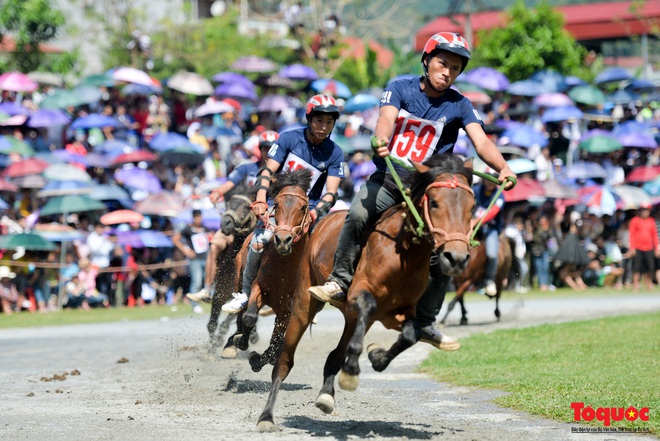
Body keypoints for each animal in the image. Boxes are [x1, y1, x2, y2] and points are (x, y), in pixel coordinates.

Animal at [228, 170, 314, 370]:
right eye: (276, 204)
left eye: (303, 207)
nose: (283, 239)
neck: (283, 270)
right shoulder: (259, 287)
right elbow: (250, 316)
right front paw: (241, 341)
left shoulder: (287, 311)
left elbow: (277, 345)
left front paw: (258, 359)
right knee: (241, 314)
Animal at [255, 155, 476, 430]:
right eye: (434, 202)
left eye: (471, 207)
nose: (456, 257)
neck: (405, 253)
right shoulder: (360, 295)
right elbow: (369, 307)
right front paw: (352, 372)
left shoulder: (396, 313)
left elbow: (411, 333)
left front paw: (376, 354)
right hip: (304, 304)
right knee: (284, 361)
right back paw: (266, 416)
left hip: (352, 317)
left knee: (335, 354)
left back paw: (326, 395)